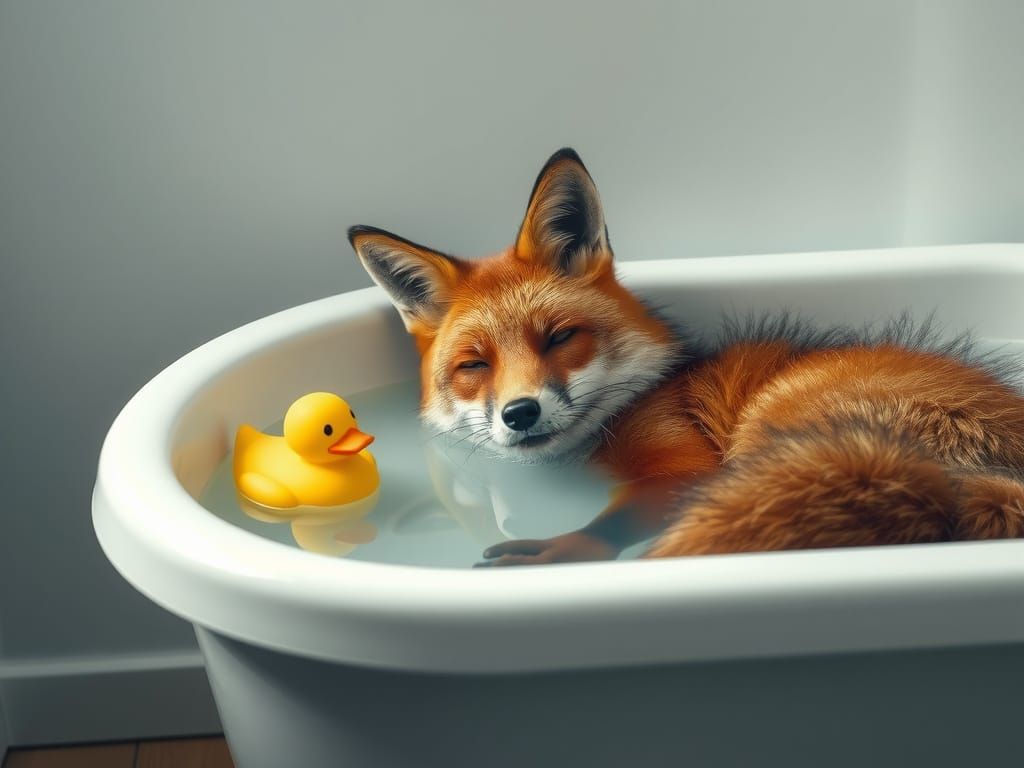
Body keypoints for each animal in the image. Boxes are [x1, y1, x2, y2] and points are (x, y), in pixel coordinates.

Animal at [348, 147, 1024, 566]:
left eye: (559, 338)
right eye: (474, 366)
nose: (520, 413)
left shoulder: (688, 467)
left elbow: (617, 519)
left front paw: (570, 549)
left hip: (770, 431)